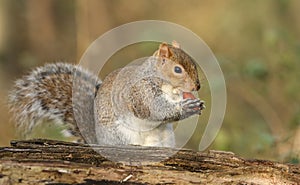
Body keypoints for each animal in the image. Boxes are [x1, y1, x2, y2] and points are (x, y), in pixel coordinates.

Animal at [9, 42, 206, 147]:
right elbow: (153, 110)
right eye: (177, 69)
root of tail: (99, 141)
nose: (197, 85)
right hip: (122, 135)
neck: (169, 88)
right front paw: (186, 108)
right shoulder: (140, 92)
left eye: (194, 64)